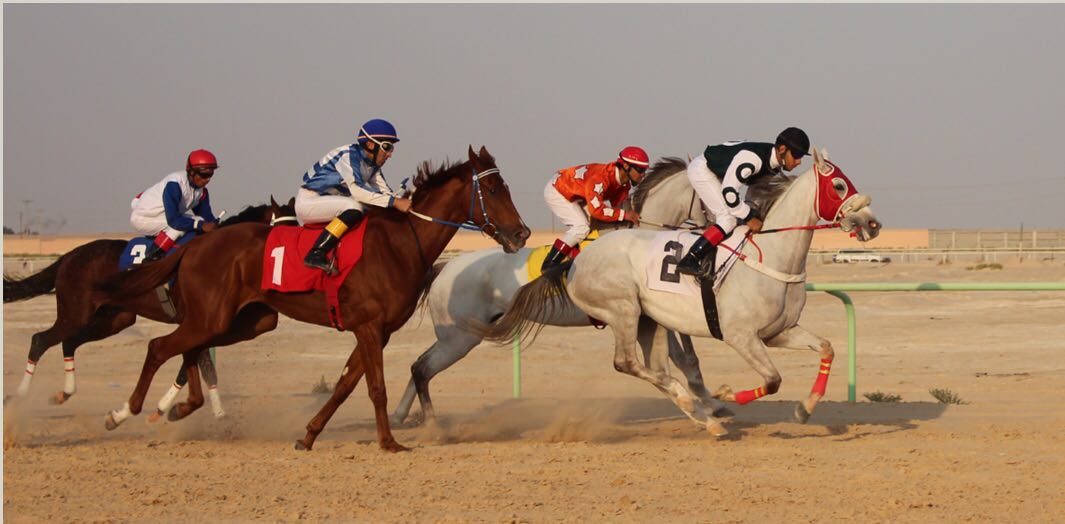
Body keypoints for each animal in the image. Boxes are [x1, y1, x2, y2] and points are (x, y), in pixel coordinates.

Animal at [91, 145, 528, 449]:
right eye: (493, 188)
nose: (521, 233)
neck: (402, 243)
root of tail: (196, 244)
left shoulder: (377, 331)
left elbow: (344, 385)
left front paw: (309, 435)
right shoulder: (369, 327)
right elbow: (375, 387)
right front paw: (389, 442)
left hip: (246, 321)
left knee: (191, 348)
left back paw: (178, 407)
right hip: (214, 316)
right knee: (160, 347)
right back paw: (120, 413)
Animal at [483, 149, 881, 436]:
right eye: (839, 186)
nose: (873, 224)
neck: (771, 255)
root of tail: (574, 264)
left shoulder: (778, 333)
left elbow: (826, 348)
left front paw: (804, 408)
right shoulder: (741, 336)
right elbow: (771, 381)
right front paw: (723, 396)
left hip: (649, 321)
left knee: (654, 367)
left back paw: (704, 418)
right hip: (623, 310)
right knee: (626, 363)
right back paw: (697, 407)